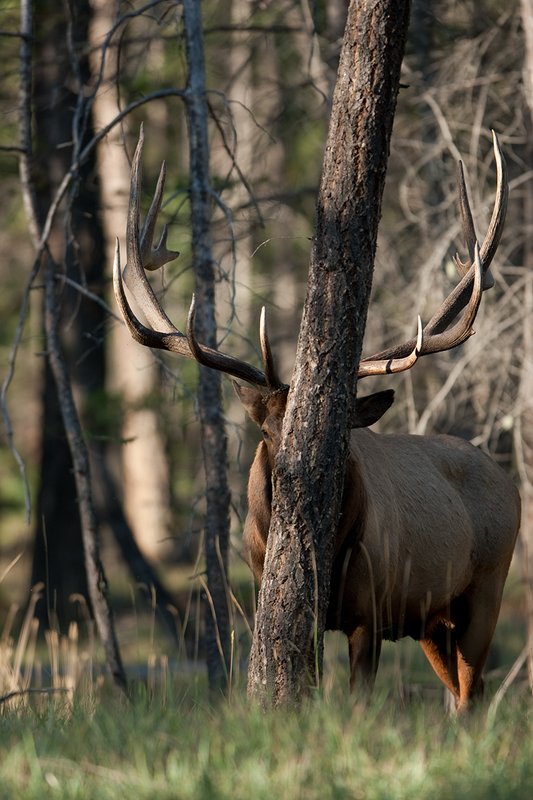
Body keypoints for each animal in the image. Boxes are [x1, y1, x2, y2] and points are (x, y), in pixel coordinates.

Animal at [114, 129, 520, 712]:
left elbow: (359, 699)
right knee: (470, 691)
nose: (294, 469)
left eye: (346, 430)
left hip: (487, 584)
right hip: (433, 621)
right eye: (265, 428)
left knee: (471, 693)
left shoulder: (371, 607)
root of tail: (509, 482)